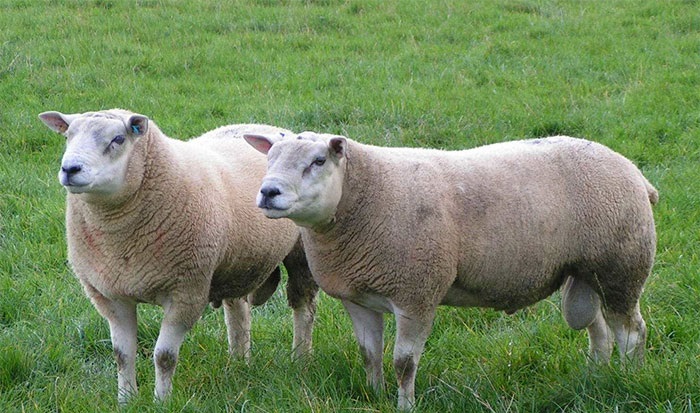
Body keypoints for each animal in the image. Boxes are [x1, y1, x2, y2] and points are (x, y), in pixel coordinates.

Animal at [38, 109, 318, 404]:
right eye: (68, 136)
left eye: (117, 139)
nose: (70, 169)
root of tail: (269, 128)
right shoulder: (110, 296)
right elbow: (122, 356)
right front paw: (126, 400)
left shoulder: (186, 292)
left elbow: (164, 356)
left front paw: (161, 402)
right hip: (236, 261)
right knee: (237, 310)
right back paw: (239, 362)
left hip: (301, 253)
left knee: (303, 306)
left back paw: (300, 359)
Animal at [243, 132, 658, 410]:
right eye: (269, 158)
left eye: (318, 161)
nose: (268, 192)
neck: (367, 194)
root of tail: (635, 173)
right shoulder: (358, 299)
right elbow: (369, 354)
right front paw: (374, 394)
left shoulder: (416, 293)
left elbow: (403, 363)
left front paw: (404, 405)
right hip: (587, 273)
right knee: (599, 330)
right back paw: (595, 378)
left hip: (622, 267)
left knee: (631, 332)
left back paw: (628, 379)